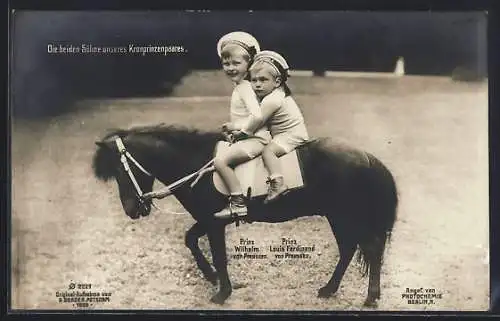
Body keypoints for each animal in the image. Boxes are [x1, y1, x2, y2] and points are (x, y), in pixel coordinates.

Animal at [93, 124, 398, 306]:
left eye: (120, 171)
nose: (132, 210)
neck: (195, 164)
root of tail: (366, 157)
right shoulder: (210, 219)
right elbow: (190, 240)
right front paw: (211, 276)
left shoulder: (213, 223)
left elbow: (218, 255)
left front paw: (221, 292)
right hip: (339, 217)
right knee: (349, 249)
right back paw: (330, 289)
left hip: (347, 216)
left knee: (369, 249)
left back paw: (370, 297)